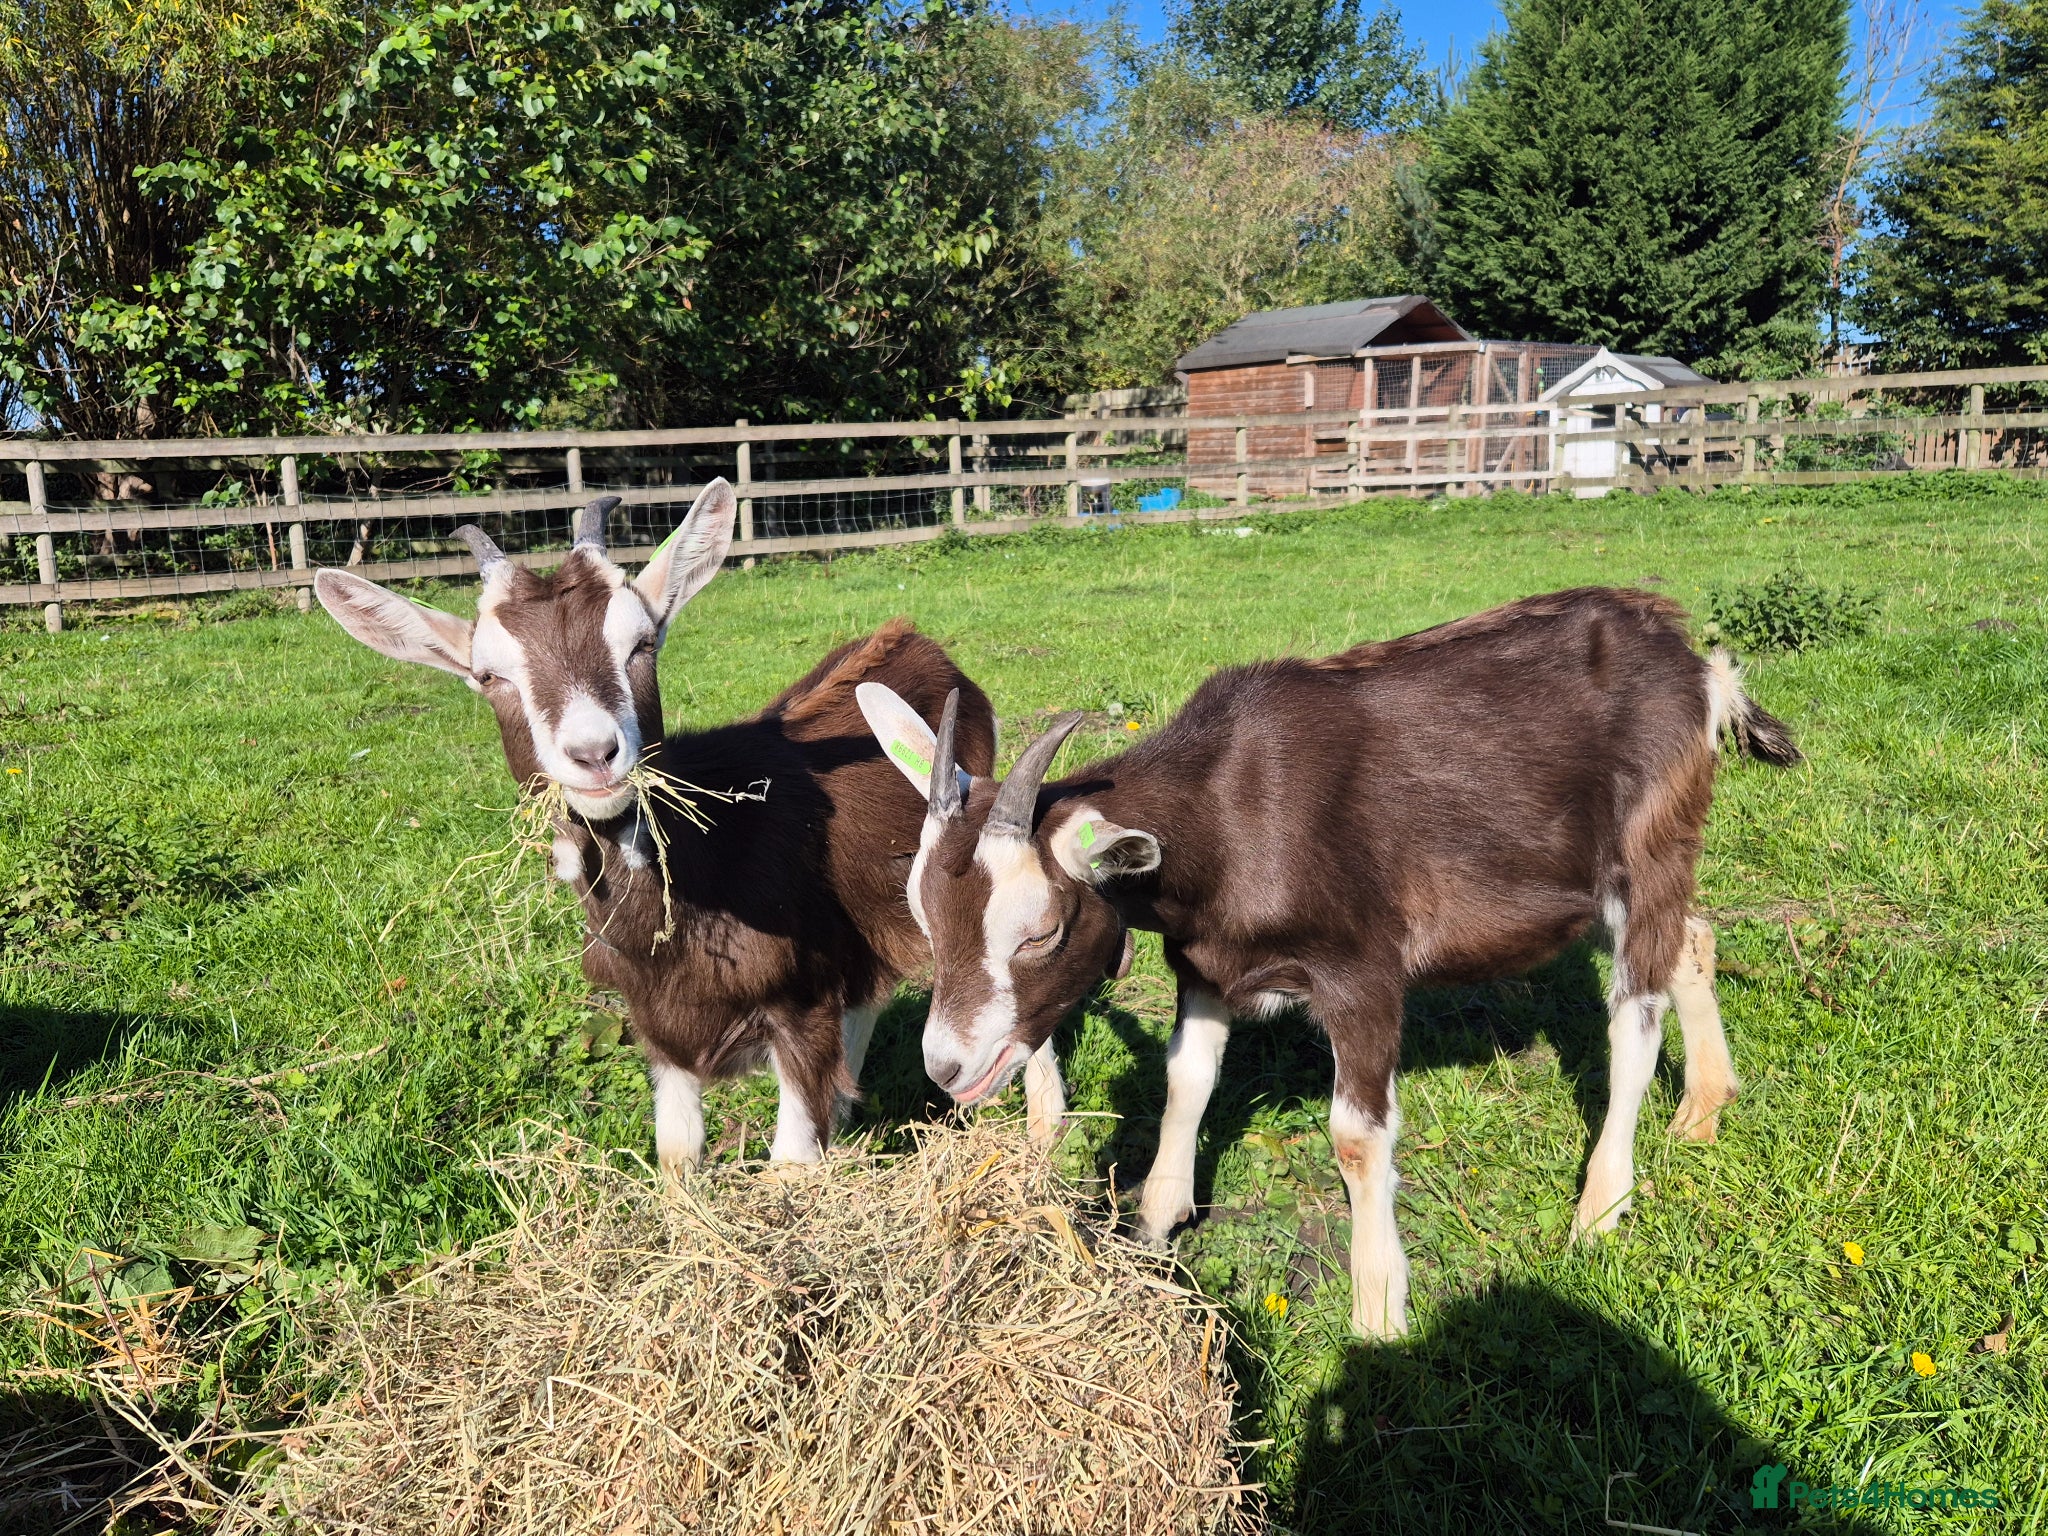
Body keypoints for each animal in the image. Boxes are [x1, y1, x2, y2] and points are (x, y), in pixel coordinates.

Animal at [313, 482, 1056, 1171]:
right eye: (488, 676)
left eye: (642, 645)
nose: (594, 754)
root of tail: (917, 640)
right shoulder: (657, 1027)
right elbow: (676, 1154)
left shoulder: (800, 1006)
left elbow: (790, 1161)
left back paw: (1047, 1135)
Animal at [860, 587, 1800, 1336]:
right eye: (924, 915)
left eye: (1040, 931)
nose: (947, 1067)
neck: (1232, 806)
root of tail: (1702, 668)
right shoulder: (1206, 965)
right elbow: (1186, 1081)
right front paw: (1154, 1226)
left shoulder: (1363, 972)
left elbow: (1355, 1135)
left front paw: (1379, 1306)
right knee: (1693, 942)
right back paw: (1704, 1108)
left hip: (1647, 846)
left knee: (1634, 1017)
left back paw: (1602, 1206)